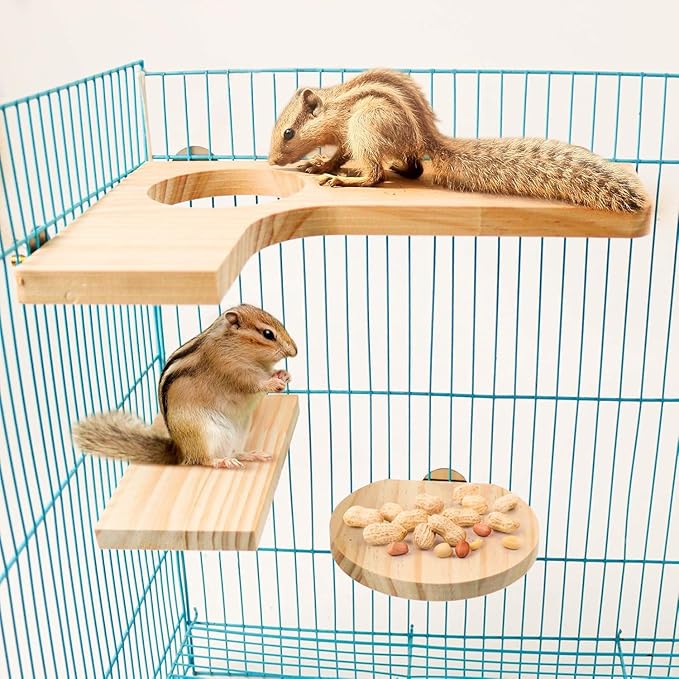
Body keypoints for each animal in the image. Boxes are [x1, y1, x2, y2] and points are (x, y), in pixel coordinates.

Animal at [71, 304, 298, 469]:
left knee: (234, 451)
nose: (294, 351)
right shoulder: (229, 369)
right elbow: (252, 384)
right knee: (203, 460)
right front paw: (273, 381)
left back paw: (250, 455)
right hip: (205, 433)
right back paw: (222, 461)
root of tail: (180, 452)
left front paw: (284, 374)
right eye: (268, 334)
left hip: (238, 434)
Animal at [268, 69, 649, 212]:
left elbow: (343, 154)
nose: (271, 162)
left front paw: (327, 166)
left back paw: (349, 179)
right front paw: (317, 162)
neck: (335, 105)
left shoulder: (349, 129)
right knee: (413, 168)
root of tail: (428, 137)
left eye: (288, 133)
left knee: (376, 174)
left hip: (368, 125)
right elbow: (338, 153)